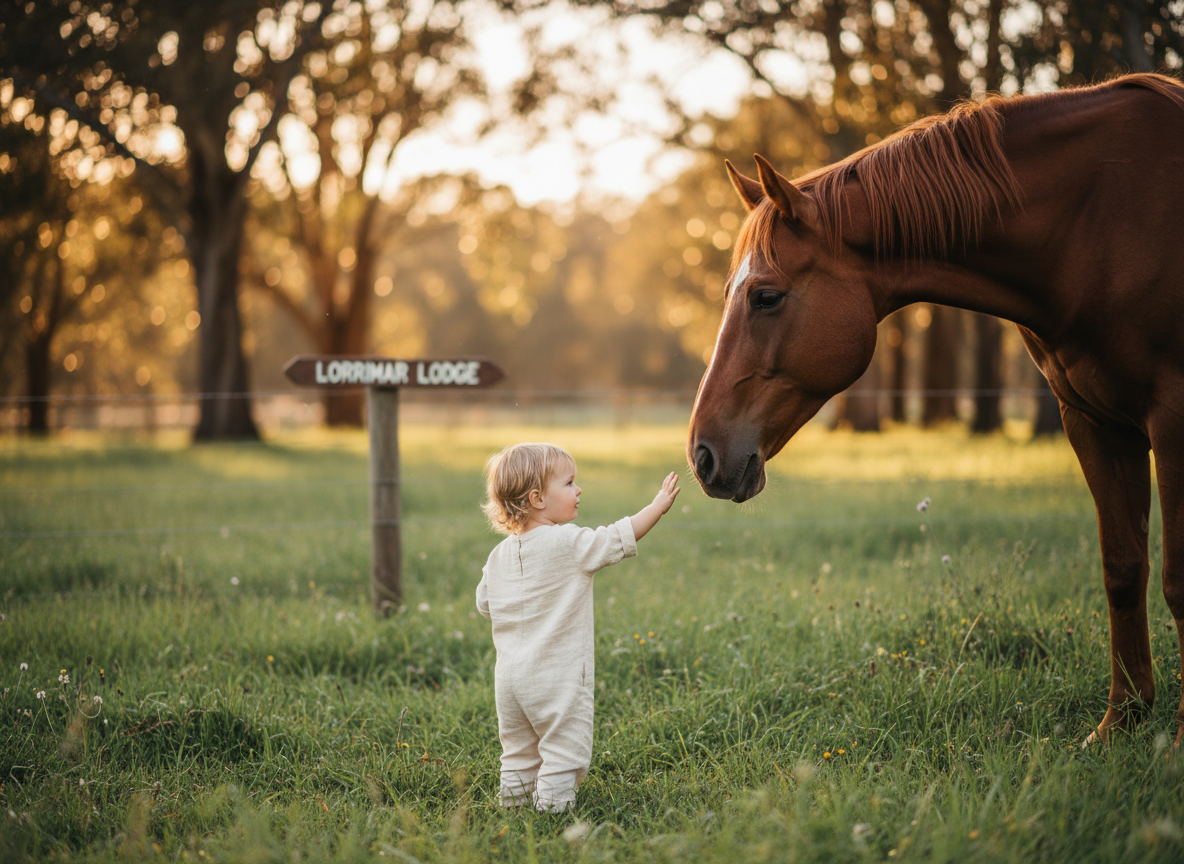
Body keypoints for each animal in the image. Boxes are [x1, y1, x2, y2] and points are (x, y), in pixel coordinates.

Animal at [687, 73, 1184, 746]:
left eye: (766, 296)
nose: (703, 455)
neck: (1101, 223)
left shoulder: (1173, 418)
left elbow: (1177, 579)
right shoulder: (1092, 420)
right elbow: (1123, 569)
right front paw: (1120, 723)